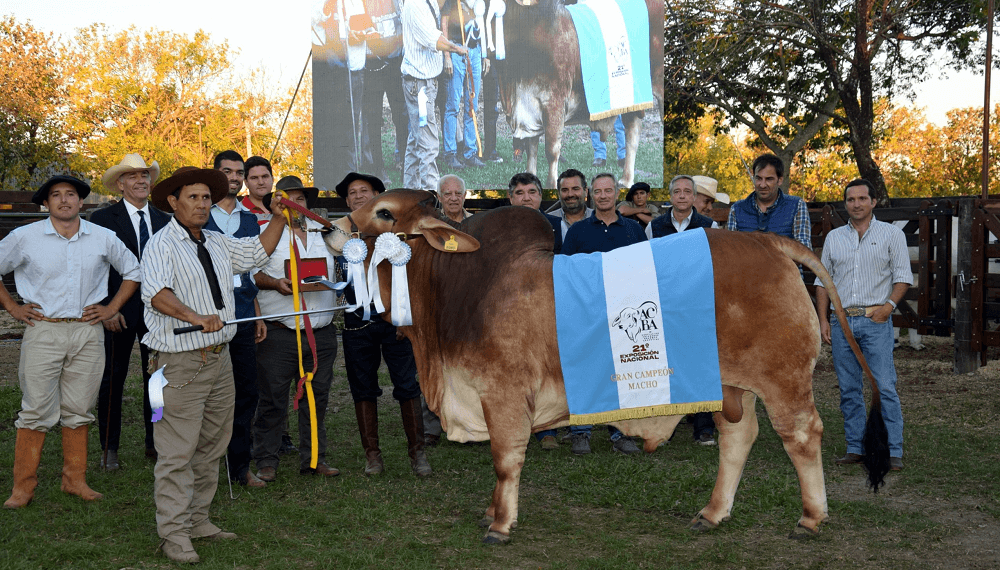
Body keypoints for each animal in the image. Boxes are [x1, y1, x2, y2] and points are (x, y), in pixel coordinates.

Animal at [324, 190, 888, 540]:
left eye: (383, 213)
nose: (332, 228)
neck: (457, 286)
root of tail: (767, 240)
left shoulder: (503, 394)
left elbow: (506, 459)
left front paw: (500, 523)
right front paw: (492, 511)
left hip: (782, 379)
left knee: (802, 436)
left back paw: (811, 518)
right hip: (730, 385)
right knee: (738, 437)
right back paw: (712, 513)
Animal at [498, 0, 664, 187]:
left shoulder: (554, 103)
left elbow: (551, 151)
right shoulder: (530, 108)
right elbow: (531, 149)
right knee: (632, 132)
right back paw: (626, 180)